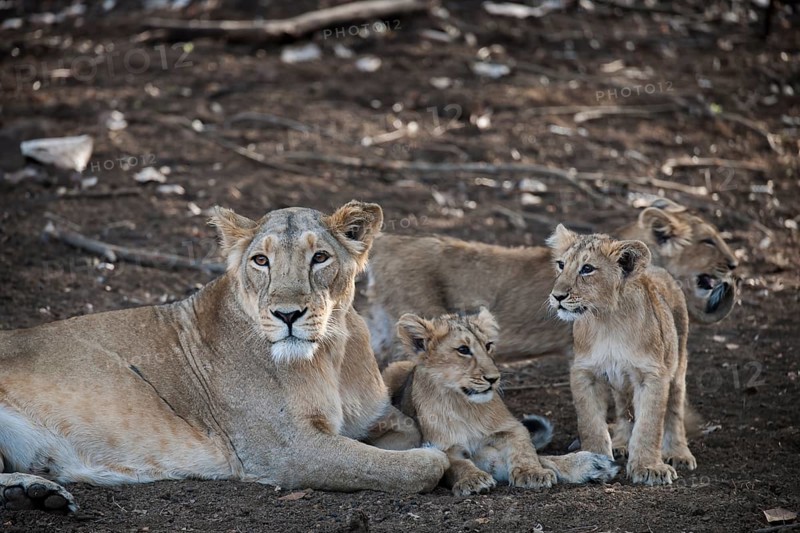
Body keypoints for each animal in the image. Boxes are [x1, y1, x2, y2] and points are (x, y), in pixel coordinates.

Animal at [0, 201, 449, 514]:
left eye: (319, 257)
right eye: (261, 260)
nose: (288, 314)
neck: (330, 354)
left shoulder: (370, 418)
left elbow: (407, 430)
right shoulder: (287, 450)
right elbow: (416, 466)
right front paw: (438, 456)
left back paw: (35, 493)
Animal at [381, 308, 619, 496]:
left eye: (488, 345)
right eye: (463, 350)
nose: (493, 378)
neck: (463, 404)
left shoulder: (509, 428)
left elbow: (526, 449)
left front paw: (533, 473)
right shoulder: (443, 445)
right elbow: (457, 464)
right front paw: (473, 480)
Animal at [547, 225, 696, 485]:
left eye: (587, 269)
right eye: (561, 264)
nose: (557, 296)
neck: (607, 321)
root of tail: (657, 269)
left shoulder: (652, 375)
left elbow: (649, 425)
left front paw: (649, 467)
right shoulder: (584, 372)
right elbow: (590, 423)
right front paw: (594, 461)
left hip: (678, 365)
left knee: (674, 409)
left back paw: (679, 452)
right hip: (620, 381)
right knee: (623, 407)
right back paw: (620, 444)